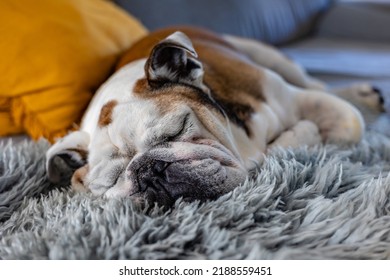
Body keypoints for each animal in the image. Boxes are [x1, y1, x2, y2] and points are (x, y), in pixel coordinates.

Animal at [45, 26, 384, 208]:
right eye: (111, 180)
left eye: (176, 130)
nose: (148, 171)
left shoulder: (291, 97)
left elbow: (349, 122)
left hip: (271, 58)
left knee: (319, 84)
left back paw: (364, 94)